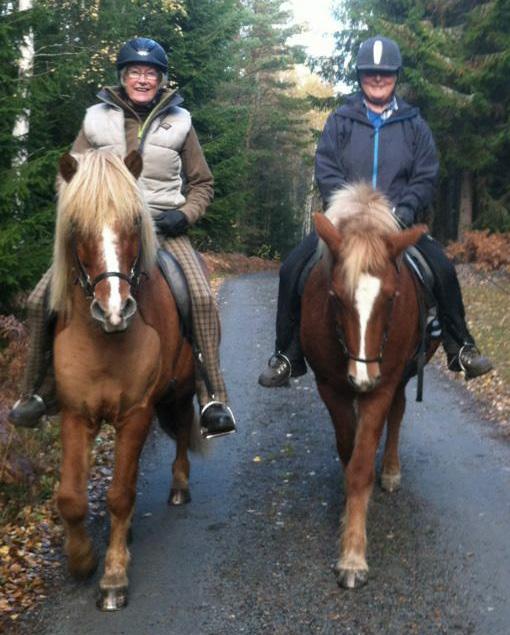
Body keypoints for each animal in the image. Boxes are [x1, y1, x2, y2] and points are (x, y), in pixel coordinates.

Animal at [50, 150, 195, 612]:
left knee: (183, 430)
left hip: (182, 390)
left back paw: (180, 486)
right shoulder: (76, 414)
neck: (106, 340)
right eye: (77, 225)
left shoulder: (136, 413)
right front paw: (81, 560)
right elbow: (71, 498)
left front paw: (113, 578)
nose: (114, 310)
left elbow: (119, 494)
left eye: (135, 221)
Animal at [300, 184, 440, 592]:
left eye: (392, 297)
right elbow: (349, 453)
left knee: (398, 413)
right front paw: (349, 517)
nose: (362, 377)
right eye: (334, 296)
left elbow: (362, 465)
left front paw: (352, 557)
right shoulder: (330, 387)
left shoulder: (383, 384)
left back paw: (390, 470)